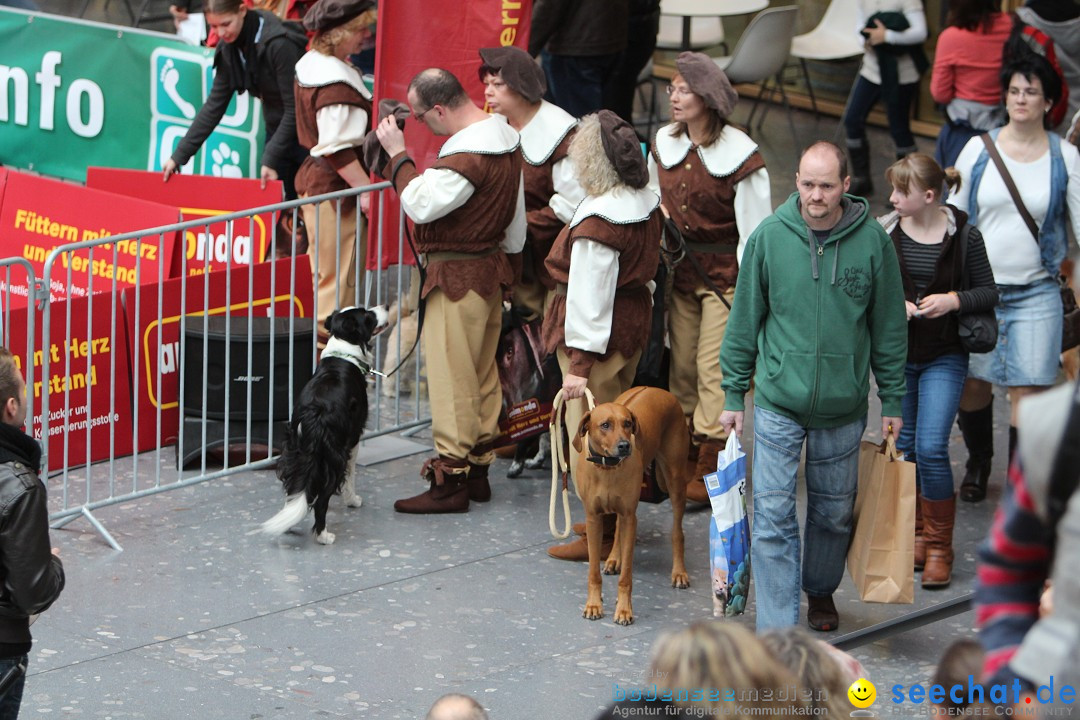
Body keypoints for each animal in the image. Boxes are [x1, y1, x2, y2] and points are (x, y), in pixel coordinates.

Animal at [574, 382, 691, 626]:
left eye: (627, 423)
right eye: (605, 425)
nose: (625, 446)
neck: (607, 467)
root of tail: (657, 388)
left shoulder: (630, 516)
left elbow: (627, 576)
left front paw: (624, 609)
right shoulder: (593, 518)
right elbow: (593, 571)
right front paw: (594, 604)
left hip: (675, 479)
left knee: (677, 531)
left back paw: (679, 572)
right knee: (618, 527)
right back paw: (613, 559)